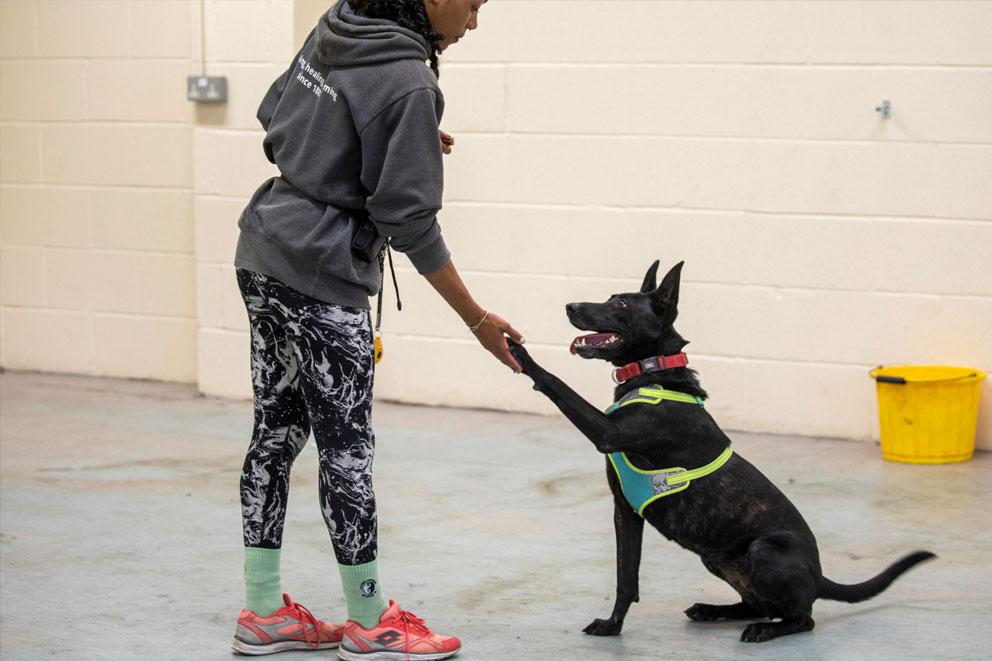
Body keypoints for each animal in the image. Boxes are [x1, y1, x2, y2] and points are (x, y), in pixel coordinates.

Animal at [508, 260, 932, 640]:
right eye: (611, 298)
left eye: (623, 304)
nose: (571, 306)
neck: (654, 371)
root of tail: (818, 576)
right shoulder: (625, 511)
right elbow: (625, 577)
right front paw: (613, 626)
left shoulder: (607, 433)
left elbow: (556, 383)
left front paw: (520, 352)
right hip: (715, 558)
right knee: (758, 604)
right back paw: (713, 610)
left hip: (764, 551)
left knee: (802, 618)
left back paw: (764, 630)